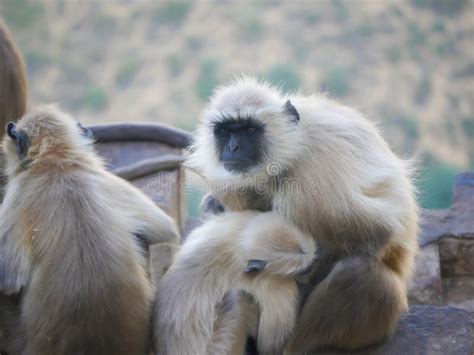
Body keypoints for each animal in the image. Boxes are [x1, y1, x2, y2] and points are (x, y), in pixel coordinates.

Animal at [156, 213, 316, 354]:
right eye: (303, 270)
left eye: (308, 267)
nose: (310, 271)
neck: (239, 248)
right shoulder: (272, 285)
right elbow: (270, 346)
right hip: (221, 347)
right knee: (239, 297)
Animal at [184, 77, 418, 354]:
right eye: (224, 131)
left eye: (248, 130)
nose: (233, 147)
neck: (293, 143)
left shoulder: (310, 178)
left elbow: (378, 232)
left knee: (356, 271)